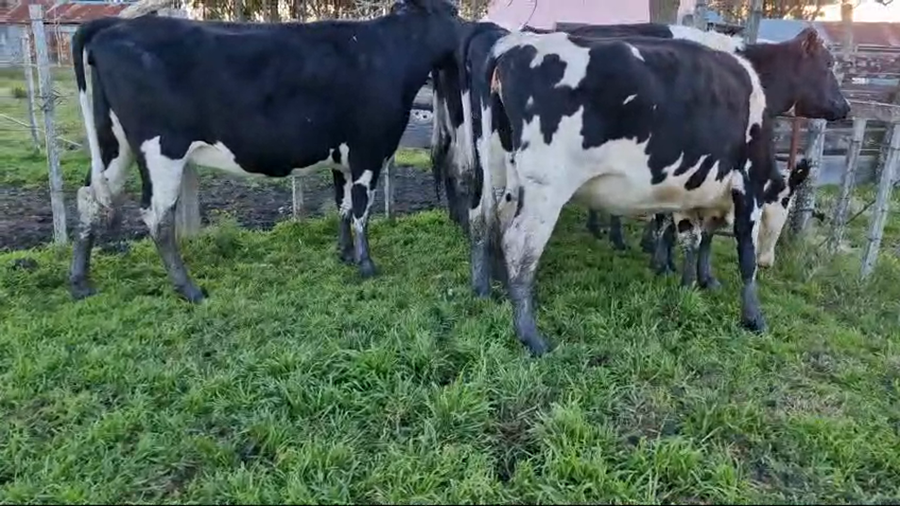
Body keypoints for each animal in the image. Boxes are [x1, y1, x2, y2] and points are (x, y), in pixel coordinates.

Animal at [67, 0, 462, 302]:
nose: (468, 27)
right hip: (162, 150)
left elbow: (344, 205)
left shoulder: (342, 156)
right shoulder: (368, 149)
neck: (387, 53)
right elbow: (362, 206)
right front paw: (366, 264)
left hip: (113, 144)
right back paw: (188, 288)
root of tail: (112, 26)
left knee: (90, 198)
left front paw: (346, 253)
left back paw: (80, 283)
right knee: (157, 214)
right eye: (454, 11)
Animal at [463, 28, 849, 355]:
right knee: (520, 244)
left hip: (498, 168)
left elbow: (692, 237)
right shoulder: (747, 186)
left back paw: (485, 290)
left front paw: (689, 283)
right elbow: (744, 254)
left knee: (485, 220)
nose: (844, 108)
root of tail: (513, 45)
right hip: (546, 187)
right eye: (828, 65)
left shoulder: (688, 192)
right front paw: (753, 316)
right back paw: (530, 336)